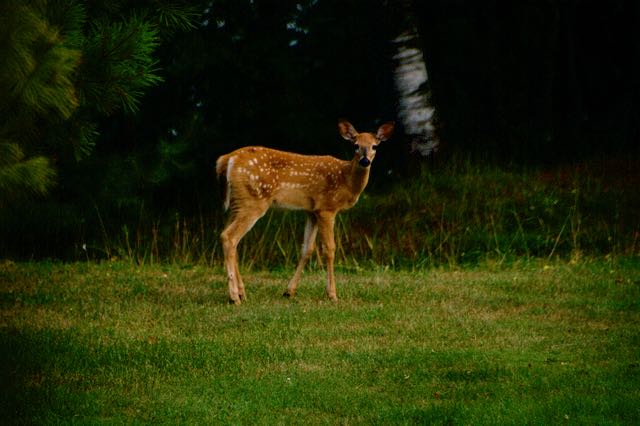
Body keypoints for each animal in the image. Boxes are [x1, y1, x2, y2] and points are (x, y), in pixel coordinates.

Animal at [216, 119, 394, 304]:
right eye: (355, 145)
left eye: (375, 146)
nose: (365, 161)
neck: (345, 180)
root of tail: (226, 159)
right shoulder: (326, 208)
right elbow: (329, 249)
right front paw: (332, 294)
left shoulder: (311, 211)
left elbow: (307, 249)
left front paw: (289, 291)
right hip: (253, 201)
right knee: (229, 237)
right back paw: (234, 296)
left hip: (237, 203)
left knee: (231, 238)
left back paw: (242, 293)